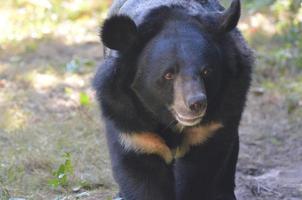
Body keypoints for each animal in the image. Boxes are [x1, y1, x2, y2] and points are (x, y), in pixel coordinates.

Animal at [93, 0, 254, 200]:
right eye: (168, 75)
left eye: (206, 71)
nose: (196, 104)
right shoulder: (131, 127)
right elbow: (142, 176)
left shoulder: (213, 123)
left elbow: (200, 172)